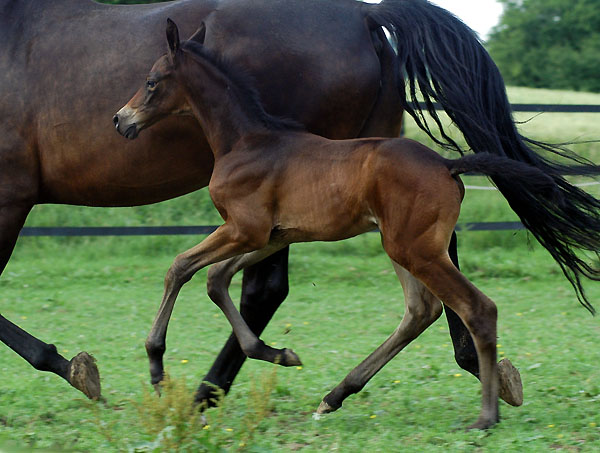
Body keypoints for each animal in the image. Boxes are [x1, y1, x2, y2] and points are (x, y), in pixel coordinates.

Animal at [118, 21, 564, 430]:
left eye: (151, 81)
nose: (121, 121)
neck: (245, 142)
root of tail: (446, 164)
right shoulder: (272, 236)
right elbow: (216, 279)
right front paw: (278, 353)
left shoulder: (245, 229)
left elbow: (180, 267)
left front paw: (156, 367)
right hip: (400, 245)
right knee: (421, 311)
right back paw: (335, 396)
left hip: (415, 249)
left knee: (476, 308)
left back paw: (485, 417)